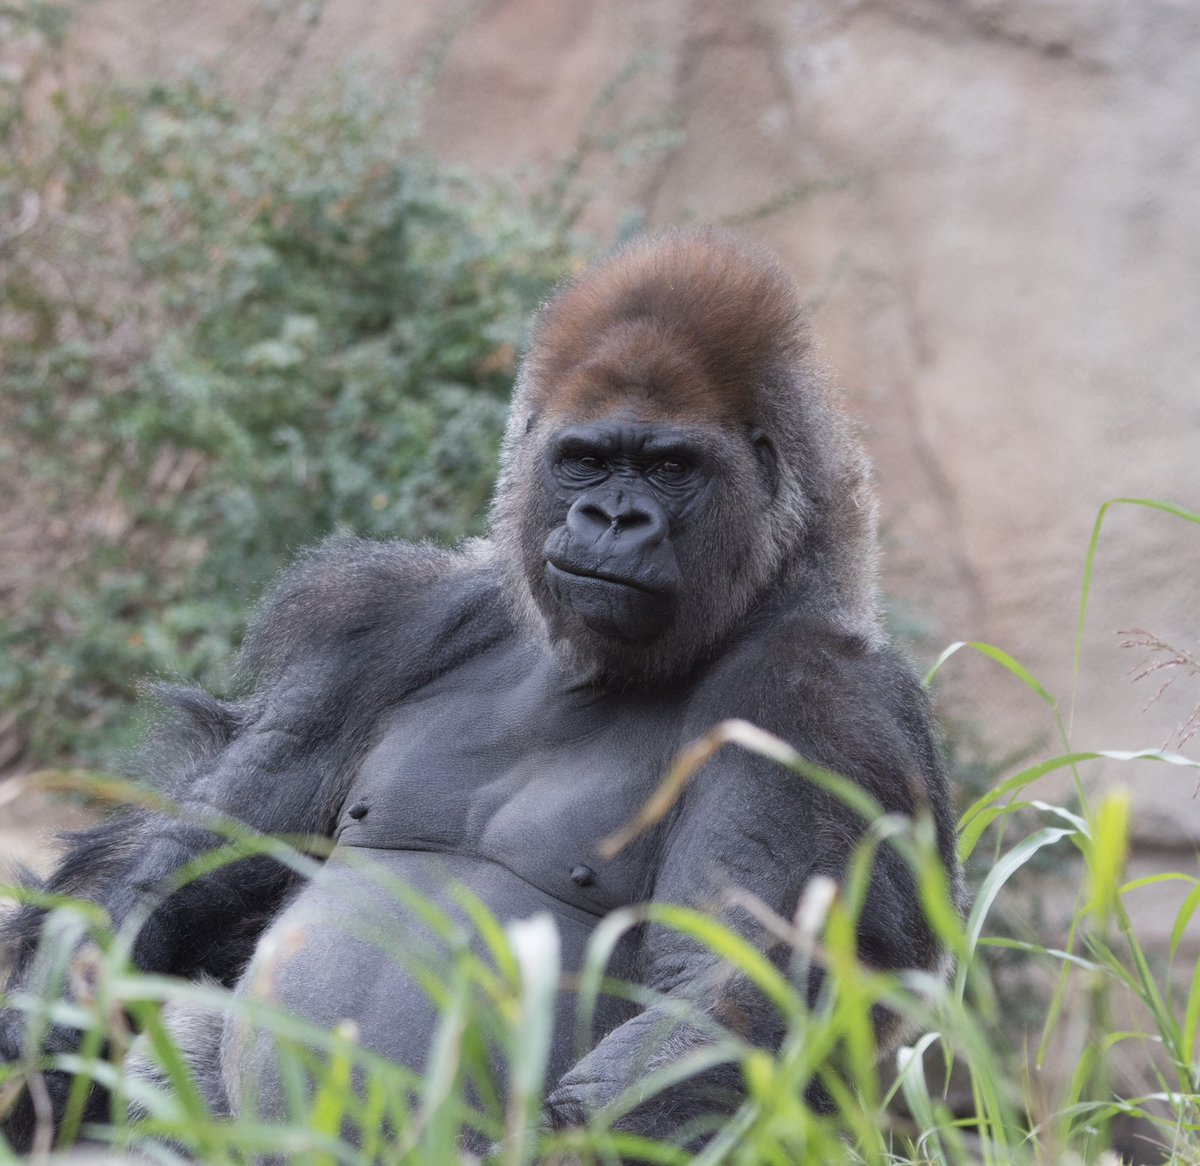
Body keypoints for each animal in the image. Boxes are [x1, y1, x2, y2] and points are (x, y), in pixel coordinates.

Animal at [0, 227, 960, 1156]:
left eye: (669, 468)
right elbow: (191, 857)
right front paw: (39, 1042)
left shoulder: (819, 706)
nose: (613, 519)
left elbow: (730, 996)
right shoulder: (389, 620)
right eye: (585, 460)